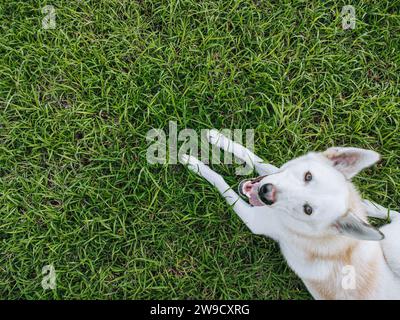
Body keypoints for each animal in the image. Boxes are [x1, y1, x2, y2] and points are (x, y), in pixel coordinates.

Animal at [182, 129, 400, 298]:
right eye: (308, 176)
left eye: (308, 209)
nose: (266, 192)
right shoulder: (275, 172)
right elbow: (255, 158)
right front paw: (220, 139)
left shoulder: (253, 220)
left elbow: (220, 182)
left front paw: (195, 165)